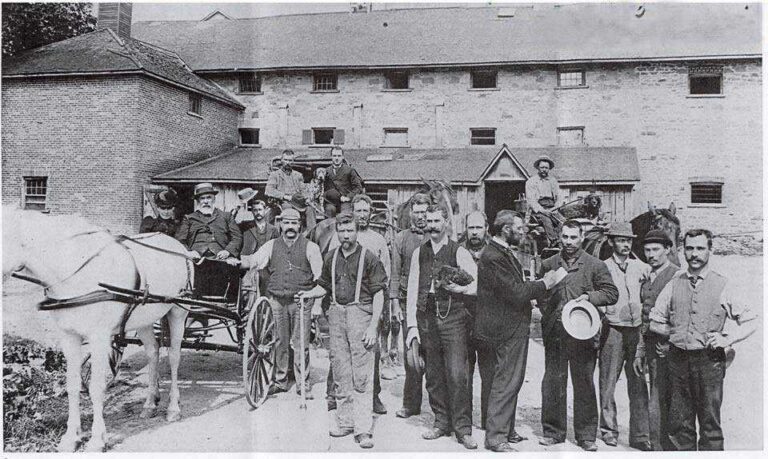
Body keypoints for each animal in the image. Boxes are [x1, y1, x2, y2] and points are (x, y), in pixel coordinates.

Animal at [3, 208, 189, 452]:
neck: (77, 272)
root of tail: (178, 246)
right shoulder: (69, 337)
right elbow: (72, 385)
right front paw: (71, 437)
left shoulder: (99, 338)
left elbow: (96, 388)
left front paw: (96, 440)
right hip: (145, 319)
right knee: (153, 353)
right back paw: (149, 403)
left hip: (178, 312)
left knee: (175, 357)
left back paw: (173, 408)